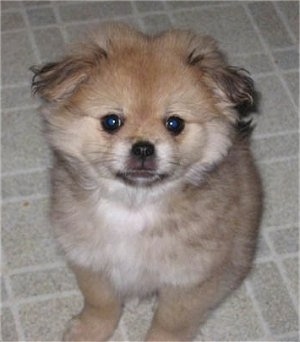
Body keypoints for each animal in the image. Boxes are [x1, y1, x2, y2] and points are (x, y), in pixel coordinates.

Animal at [31, 22, 262, 340]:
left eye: (174, 124)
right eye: (111, 121)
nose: (143, 148)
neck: (135, 204)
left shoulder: (188, 280)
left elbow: (170, 322)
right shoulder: (90, 260)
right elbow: (101, 303)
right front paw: (90, 330)